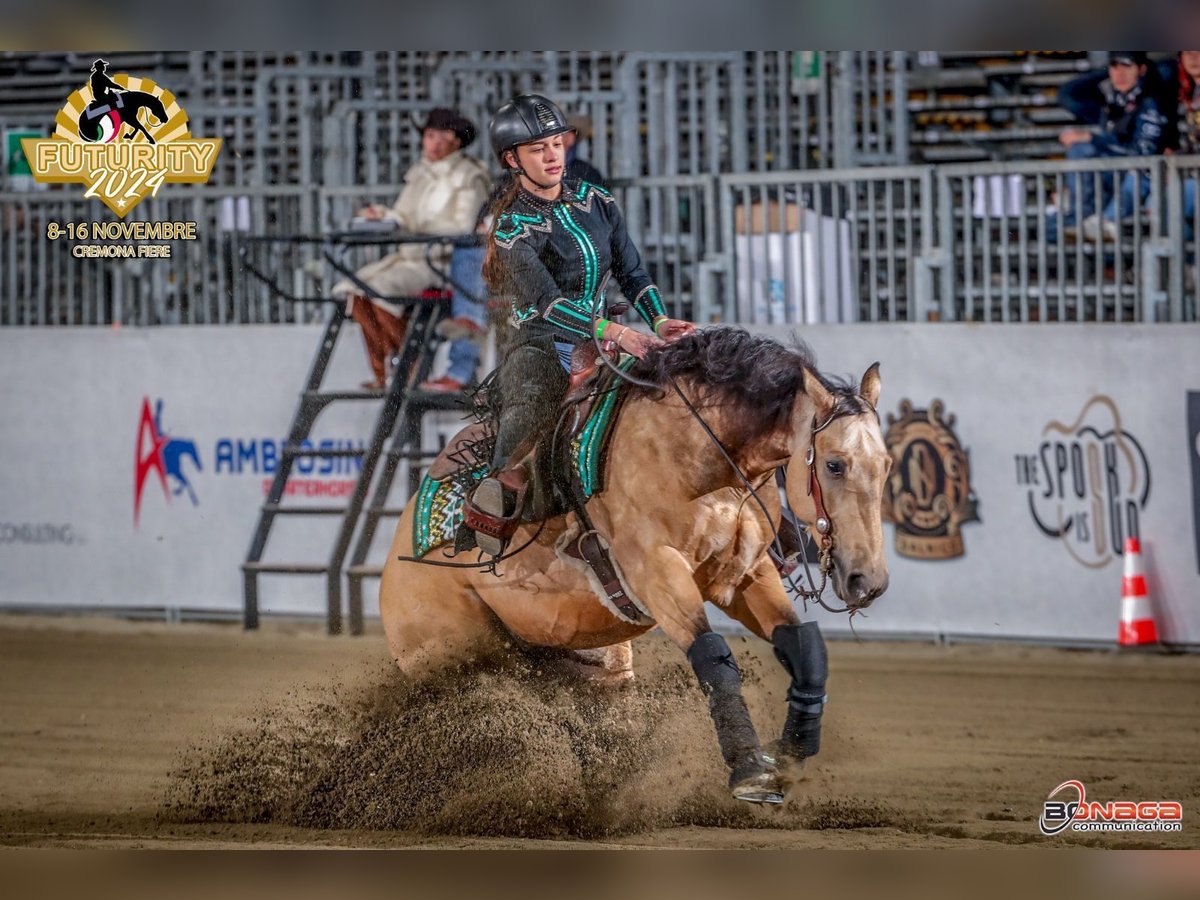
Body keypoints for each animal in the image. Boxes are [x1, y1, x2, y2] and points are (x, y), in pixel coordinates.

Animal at [376, 328, 892, 806]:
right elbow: (713, 657)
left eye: (886, 464)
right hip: (453, 658)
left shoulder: (745, 576)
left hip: (590, 661)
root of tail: (394, 561)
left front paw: (790, 754)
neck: (699, 457)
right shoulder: (657, 574)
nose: (867, 581)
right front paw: (750, 769)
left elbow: (804, 648)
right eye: (834, 464)